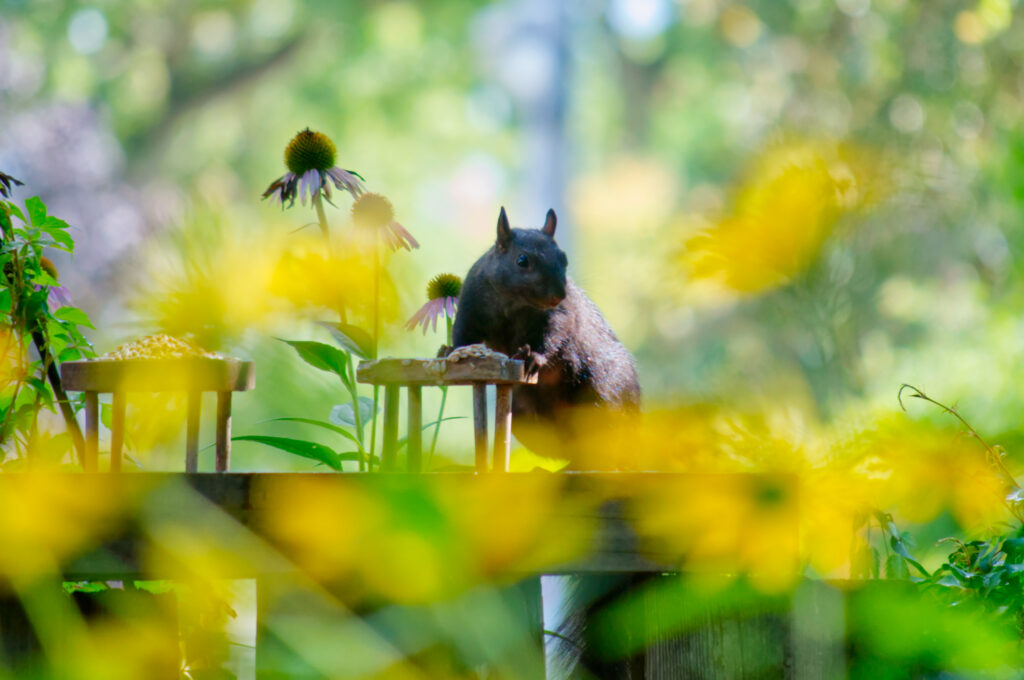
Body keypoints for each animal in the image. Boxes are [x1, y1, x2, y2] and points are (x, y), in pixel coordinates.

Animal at [449, 206, 641, 460]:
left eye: (564, 258)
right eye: (522, 260)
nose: (558, 294)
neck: (514, 302)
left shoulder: (558, 315)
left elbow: (552, 336)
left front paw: (533, 356)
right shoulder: (471, 303)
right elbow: (463, 332)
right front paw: (452, 352)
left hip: (605, 391)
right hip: (524, 416)